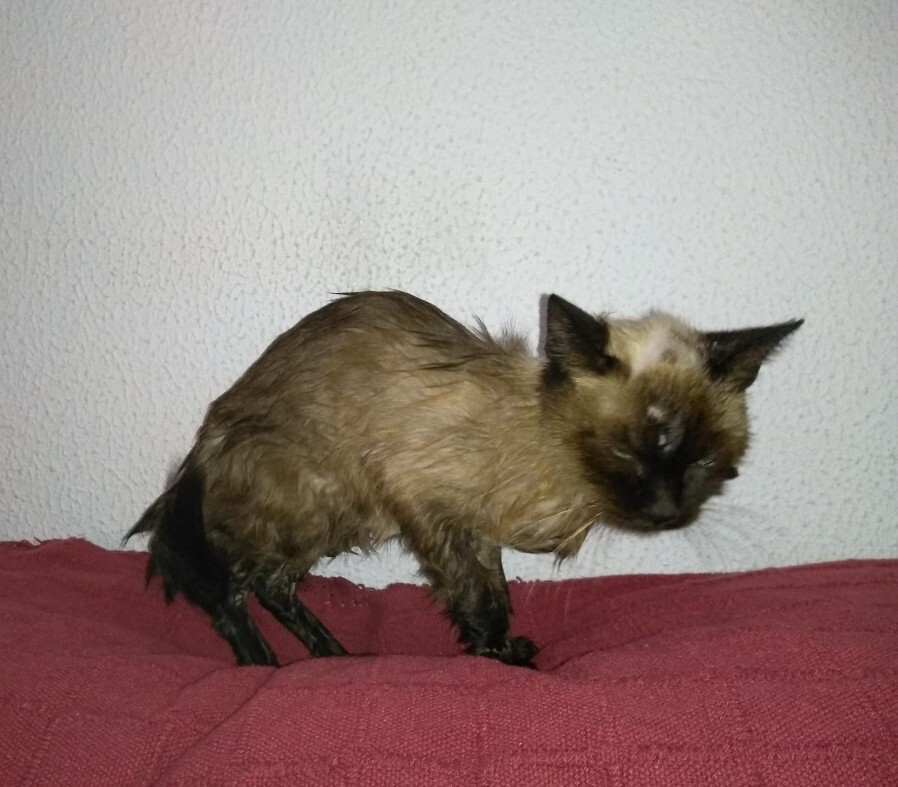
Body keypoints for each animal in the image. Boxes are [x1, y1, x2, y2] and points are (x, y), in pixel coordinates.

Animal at [125, 291, 802, 668]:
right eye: (625, 454)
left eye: (700, 462)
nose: (664, 514)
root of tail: (203, 447)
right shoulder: (432, 508)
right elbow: (479, 598)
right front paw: (503, 658)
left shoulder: (477, 529)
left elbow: (495, 589)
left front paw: (499, 649)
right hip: (318, 500)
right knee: (228, 582)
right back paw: (265, 668)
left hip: (336, 520)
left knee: (269, 585)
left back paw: (332, 659)